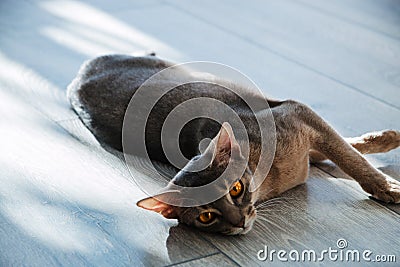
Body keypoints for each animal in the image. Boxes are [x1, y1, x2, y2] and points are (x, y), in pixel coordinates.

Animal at [68, 53, 400, 236]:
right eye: (206, 217)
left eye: (236, 188)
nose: (239, 222)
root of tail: (78, 75)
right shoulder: (304, 139)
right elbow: (338, 150)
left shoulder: (296, 110)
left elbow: (349, 156)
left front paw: (386, 184)